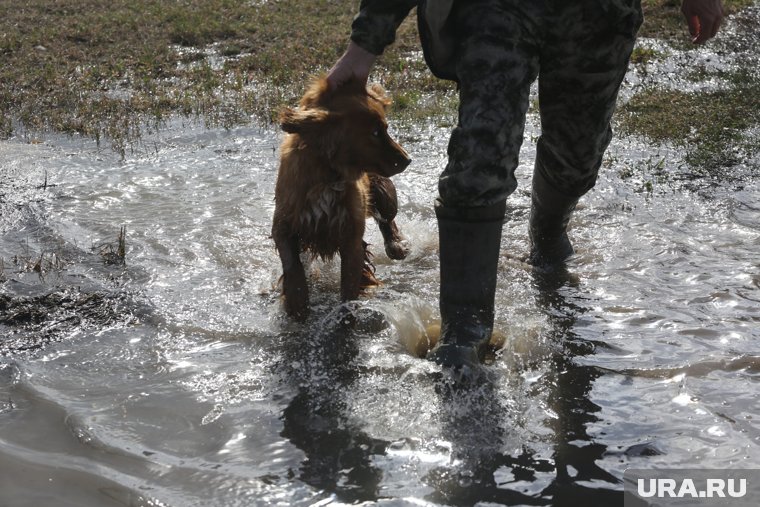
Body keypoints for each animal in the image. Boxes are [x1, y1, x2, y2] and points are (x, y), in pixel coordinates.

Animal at [274, 77, 412, 320]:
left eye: (386, 128)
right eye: (375, 132)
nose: (407, 159)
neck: (328, 174)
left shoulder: (351, 238)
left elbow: (349, 289)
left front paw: (345, 317)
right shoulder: (284, 225)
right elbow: (293, 264)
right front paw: (298, 304)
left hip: (384, 192)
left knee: (387, 219)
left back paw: (396, 245)